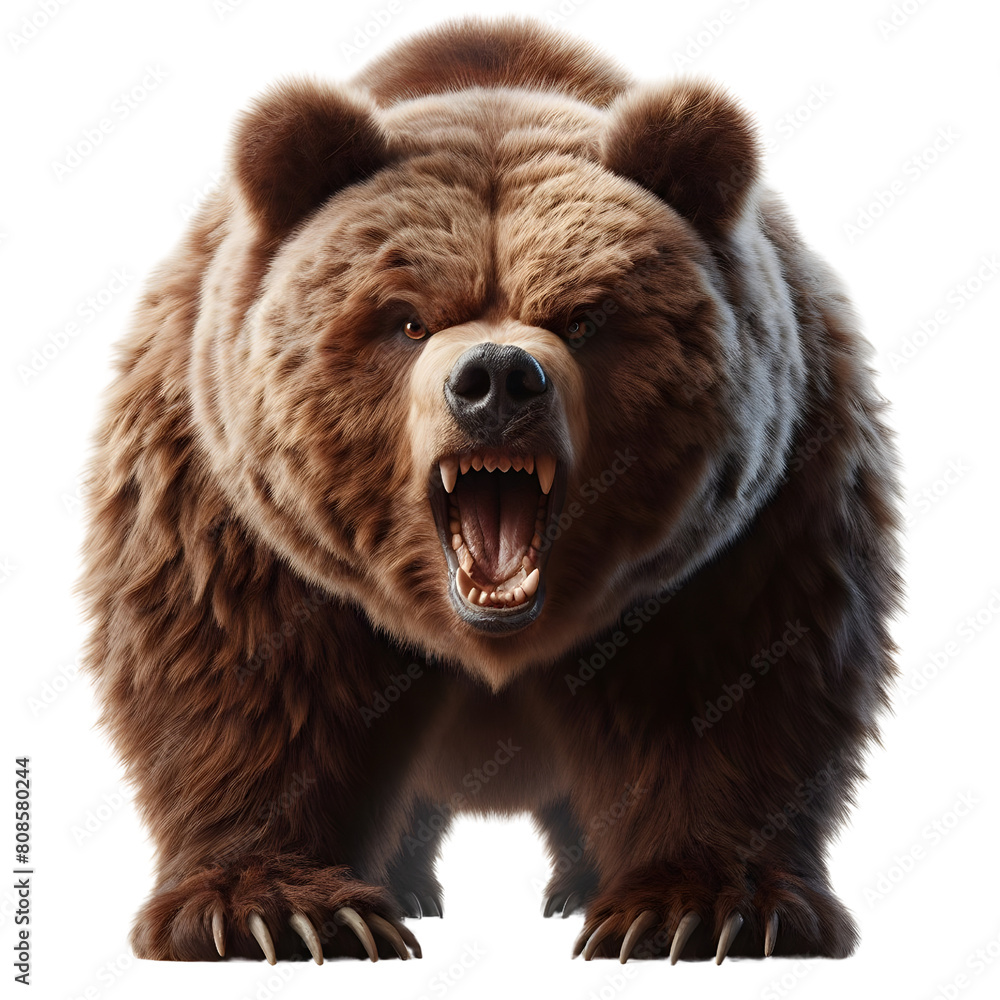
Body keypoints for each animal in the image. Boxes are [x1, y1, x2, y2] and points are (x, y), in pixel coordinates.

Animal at [79, 16, 901, 965]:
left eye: (585, 315)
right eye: (406, 318)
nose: (499, 381)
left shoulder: (747, 526)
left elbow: (735, 685)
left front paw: (701, 907)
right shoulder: (231, 507)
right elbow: (242, 679)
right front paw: (273, 910)